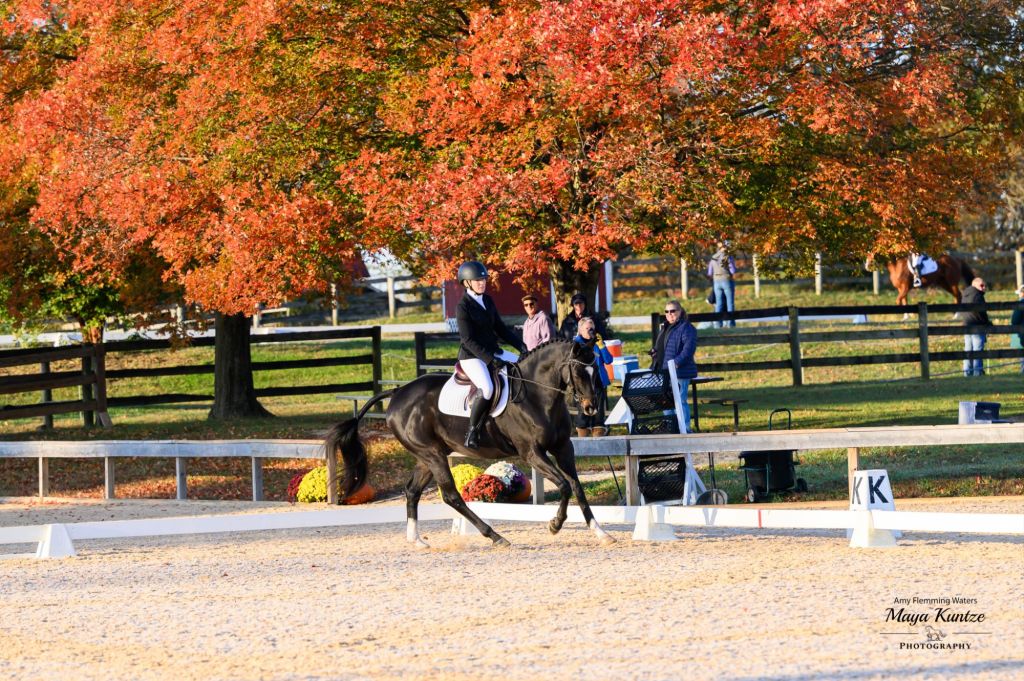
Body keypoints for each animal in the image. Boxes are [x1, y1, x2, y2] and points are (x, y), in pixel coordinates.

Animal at [324, 338, 616, 548]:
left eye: (596, 370)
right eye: (578, 370)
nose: (590, 408)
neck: (537, 396)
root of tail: (397, 392)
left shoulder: (563, 447)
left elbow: (577, 488)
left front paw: (601, 533)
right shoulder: (532, 453)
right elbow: (565, 485)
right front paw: (554, 525)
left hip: (427, 457)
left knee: (412, 491)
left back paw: (416, 540)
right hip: (433, 455)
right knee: (451, 496)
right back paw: (496, 537)